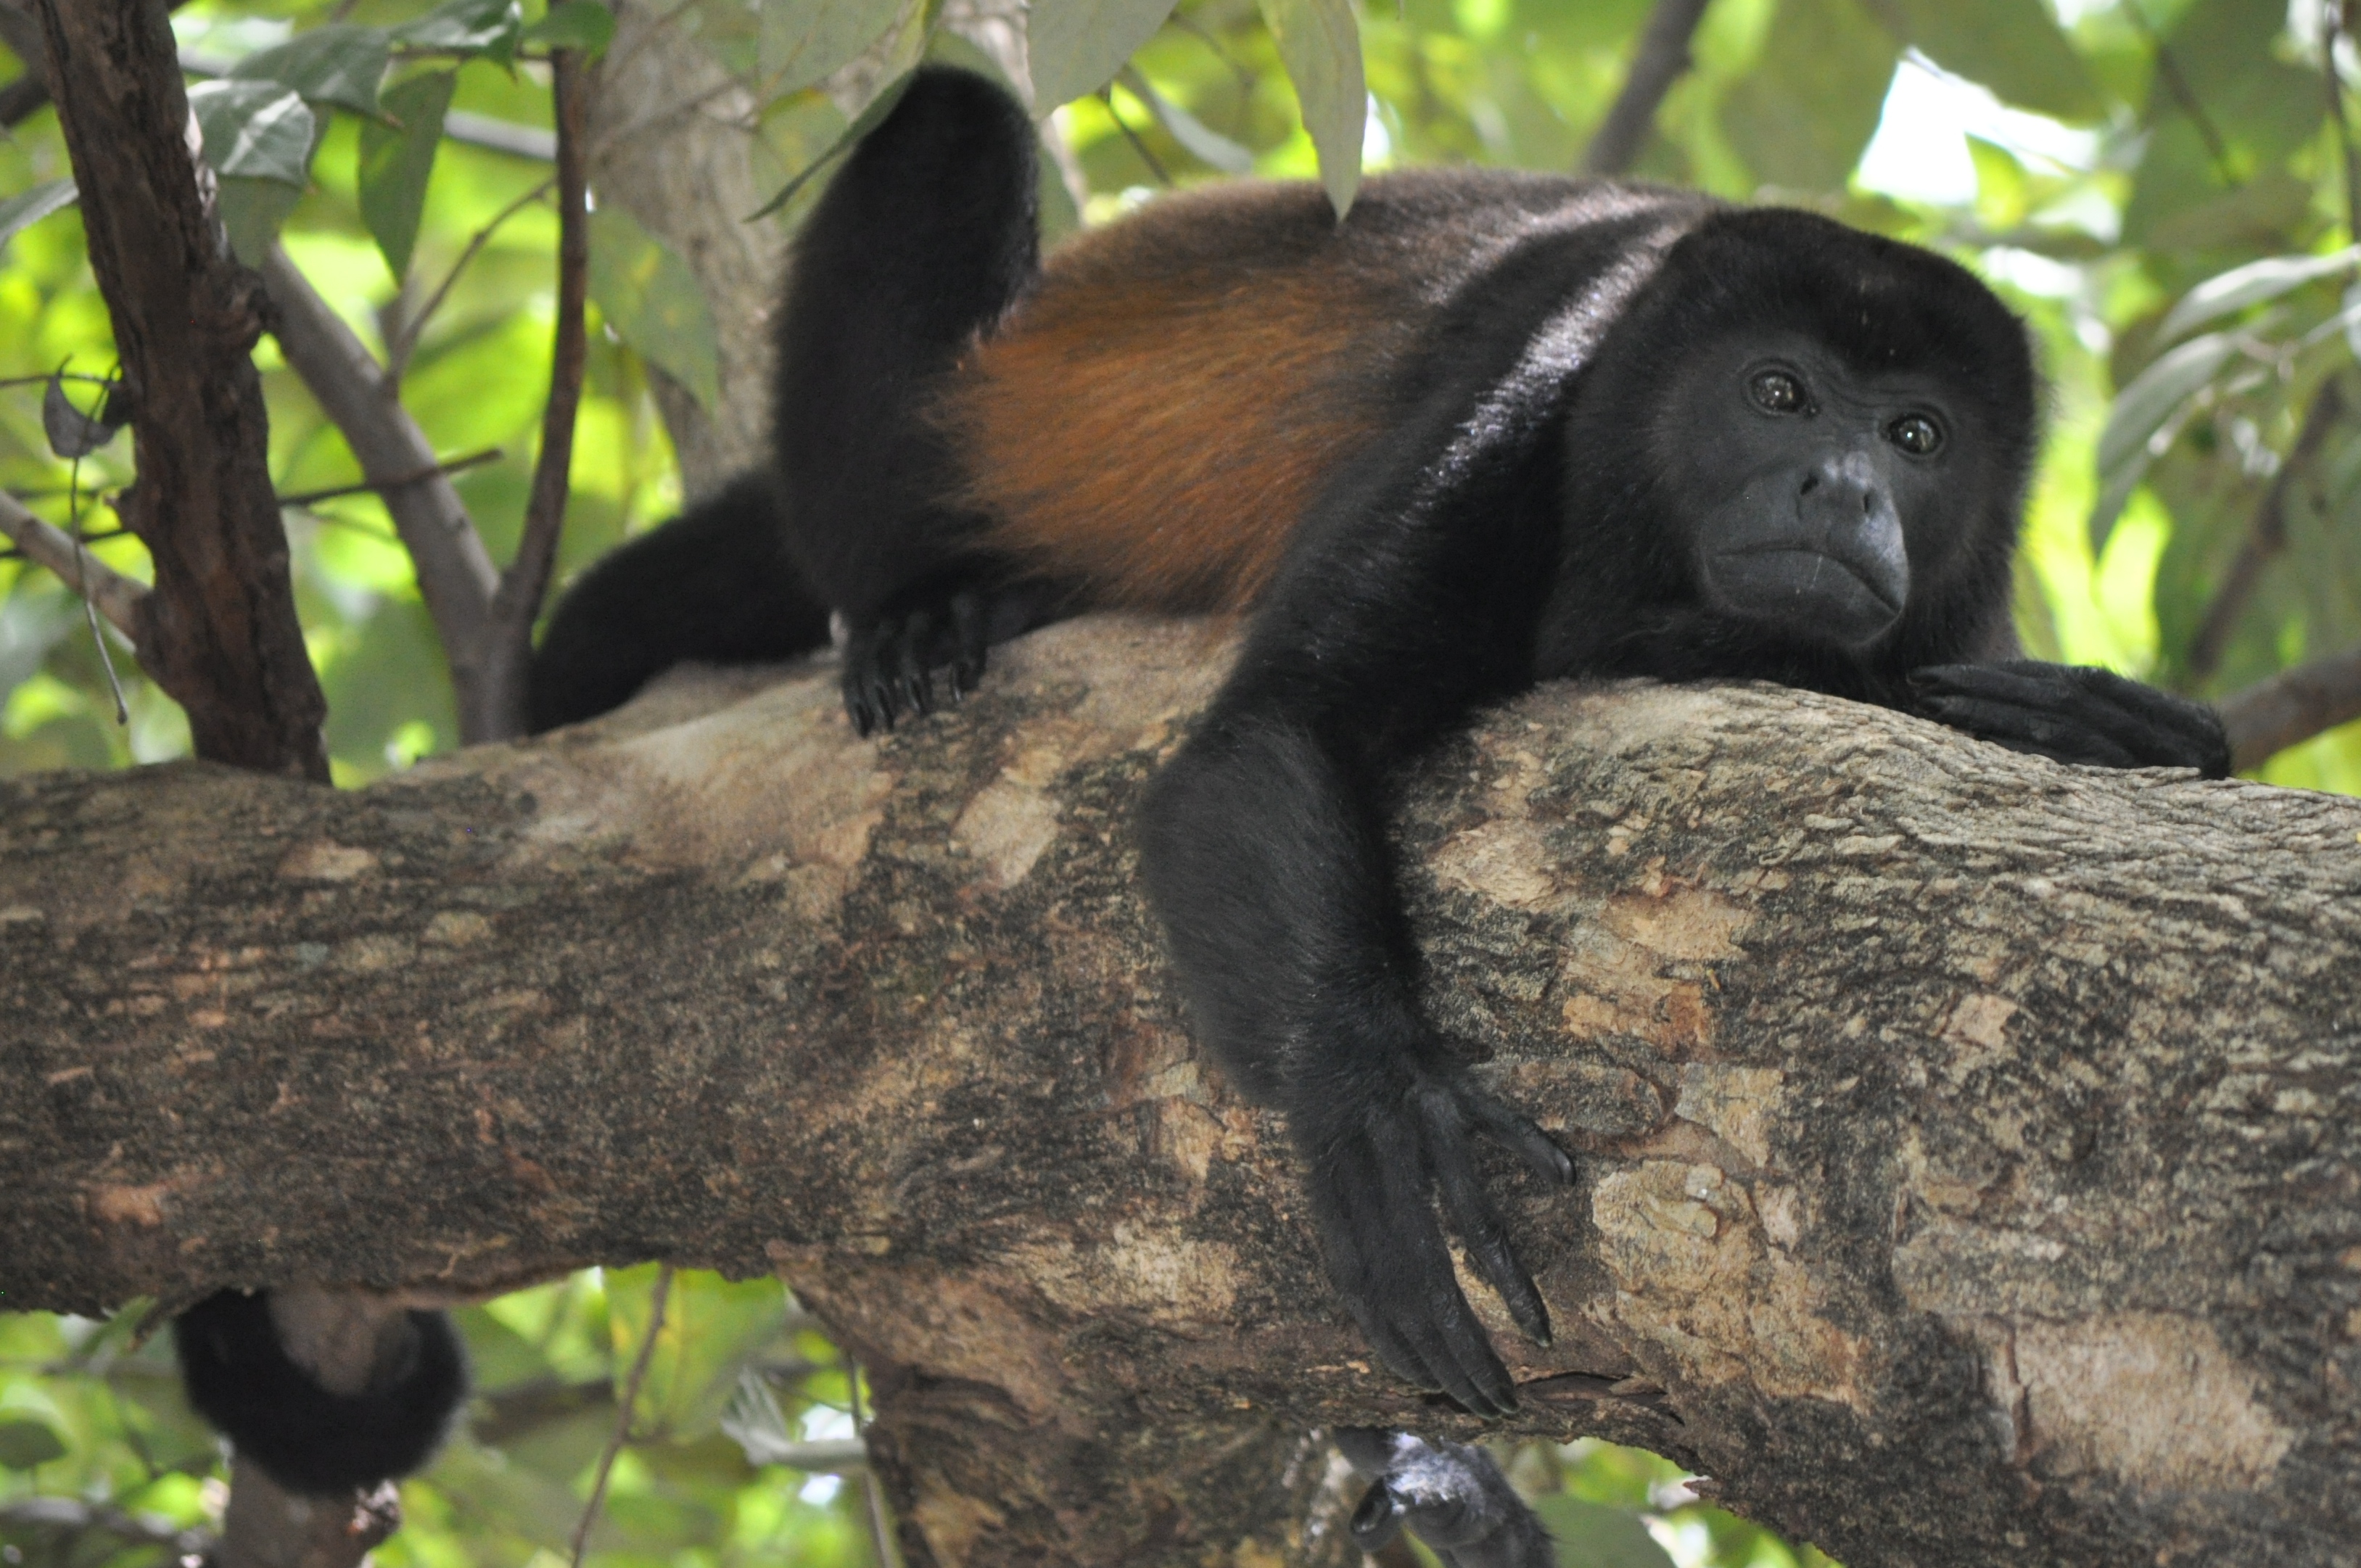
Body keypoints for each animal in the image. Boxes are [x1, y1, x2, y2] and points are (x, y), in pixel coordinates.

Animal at [522, 67, 2228, 1426]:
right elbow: (1280, 728)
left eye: (1918, 436)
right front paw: (1374, 1095)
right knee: (955, 120)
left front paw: (2101, 716)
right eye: (1779, 394)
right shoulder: (1542, 374)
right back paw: (934, 595)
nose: (1843, 487)